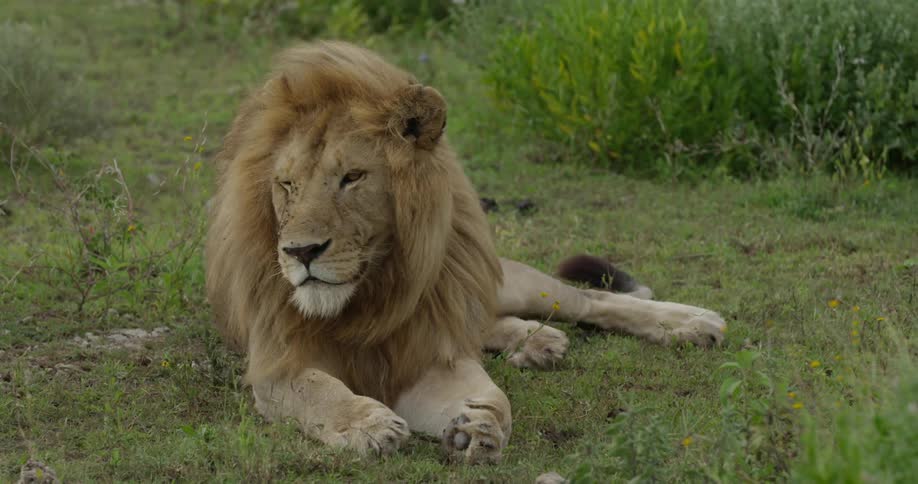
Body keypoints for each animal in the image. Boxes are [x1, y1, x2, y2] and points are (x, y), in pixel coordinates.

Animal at [205, 41, 726, 464]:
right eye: (286, 185)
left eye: (352, 177)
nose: (301, 251)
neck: (369, 294)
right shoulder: (276, 365)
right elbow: (320, 390)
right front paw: (369, 424)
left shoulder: (428, 354)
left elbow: (494, 397)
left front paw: (478, 427)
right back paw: (539, 342)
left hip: (513, 283)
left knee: (590, 301)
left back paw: (692, 323)